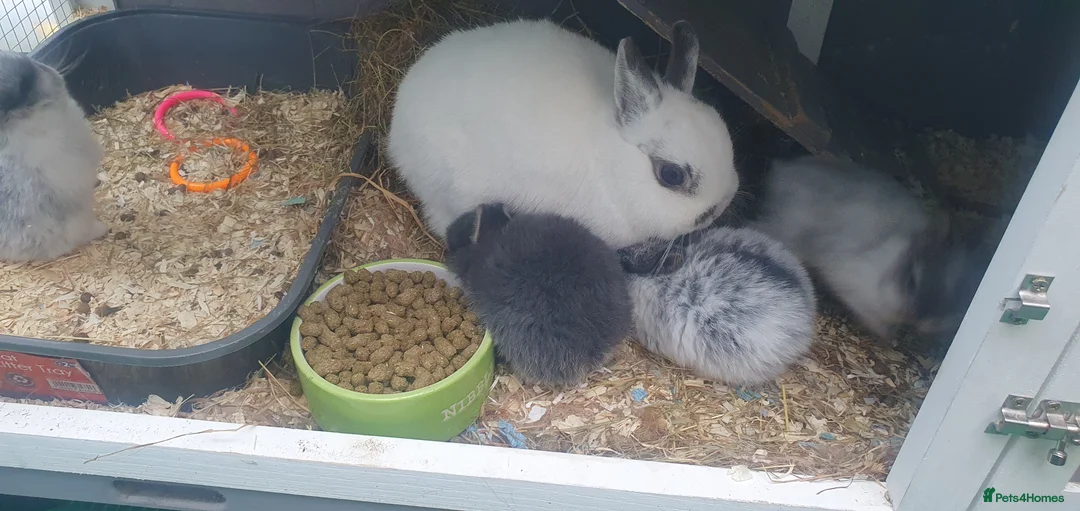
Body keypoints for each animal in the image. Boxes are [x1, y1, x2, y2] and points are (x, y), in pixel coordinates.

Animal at [749, 154, 986, 346]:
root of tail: (782, 171)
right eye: (911, 280)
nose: (911, 318)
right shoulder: (857, 285)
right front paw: (889, 337)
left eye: (952, 296)